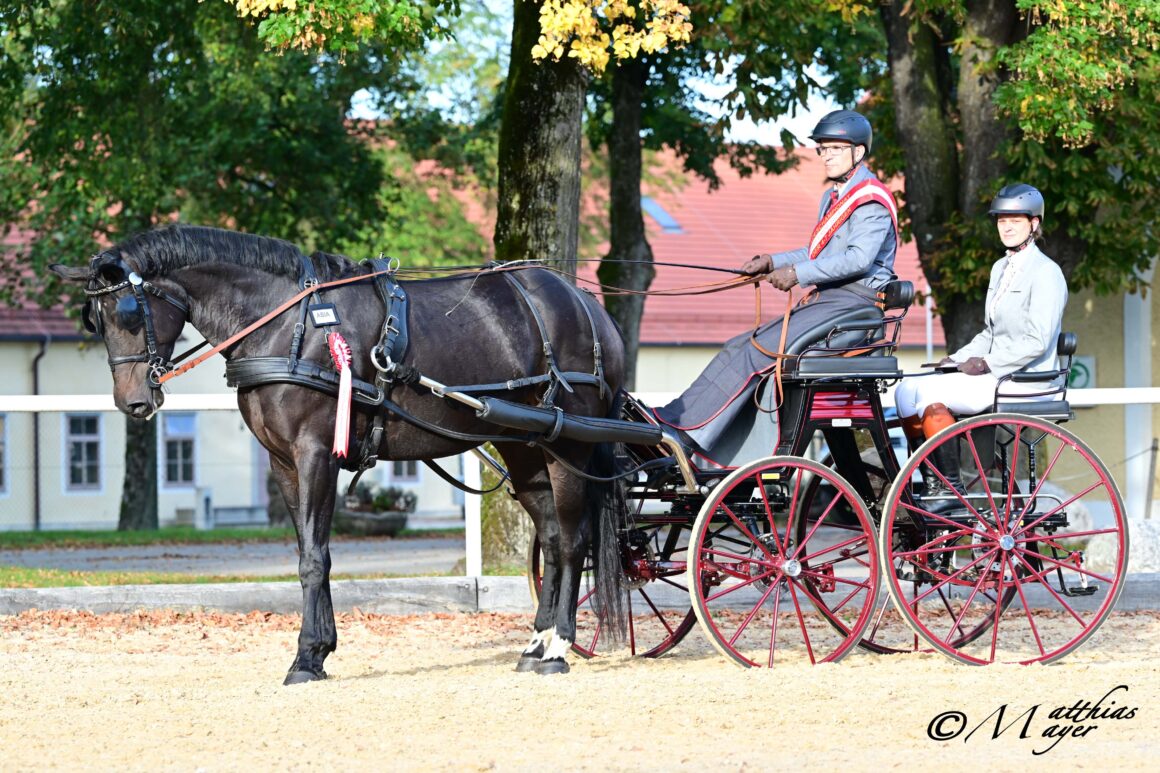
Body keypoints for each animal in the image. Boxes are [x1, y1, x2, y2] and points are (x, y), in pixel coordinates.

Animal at [52, 222, 635, 682]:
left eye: (130, 312)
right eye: (95, 320)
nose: (133, 402)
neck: (288, 323)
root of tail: (586, 304)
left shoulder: (315, 453)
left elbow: (315, 556)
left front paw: (306, 658)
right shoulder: (283, 462)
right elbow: (310, 552)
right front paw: (320, 648)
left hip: (569, 442)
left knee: (574, 542)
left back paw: (558, 646)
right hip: (525, 450)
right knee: (553, 539)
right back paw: (535, 644)